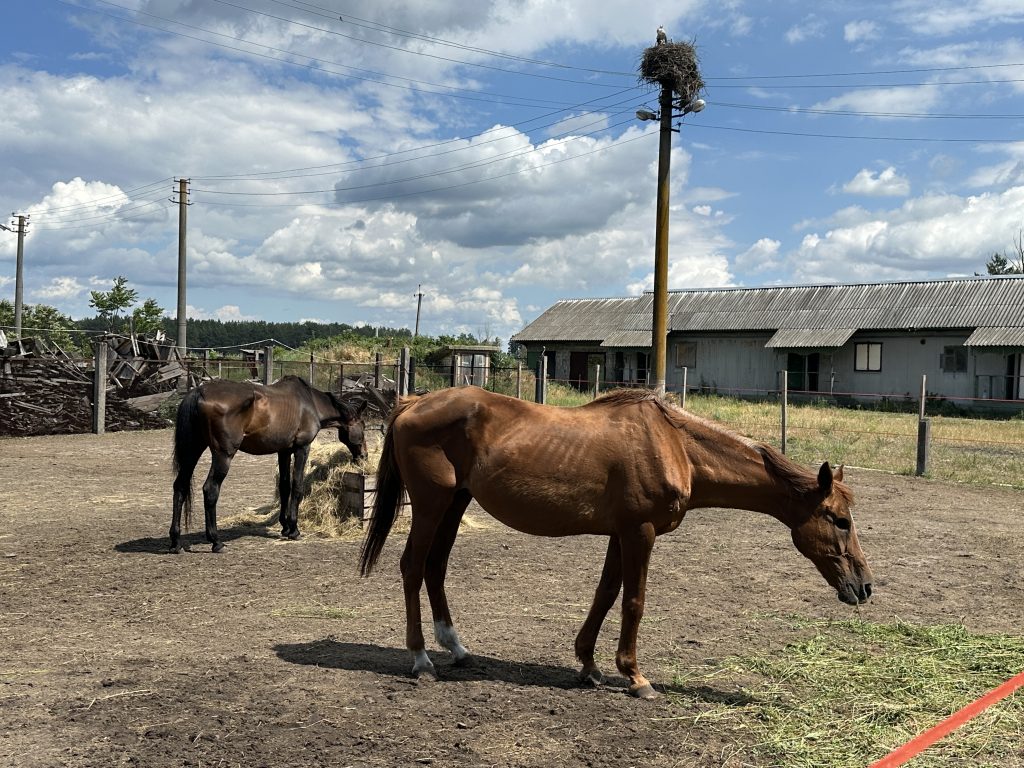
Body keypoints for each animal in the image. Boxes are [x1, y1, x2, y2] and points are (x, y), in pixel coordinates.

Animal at [171, 376, 368, 552]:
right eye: (363, 427)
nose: (364, 456)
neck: (310, 402)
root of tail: (199, 392)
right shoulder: (302, 449)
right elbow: (297, 486)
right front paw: (294, 529)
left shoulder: (284, 451)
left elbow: (284, 486)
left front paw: (285, 526)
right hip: (223, 456)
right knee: (210, 489)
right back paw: (215, 541)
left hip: (193, 451)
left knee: (180, 486)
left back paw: (176, 542)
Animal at [360, 387, 872, 700]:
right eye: (840, 520)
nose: (864, 587)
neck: (676, 446)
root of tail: (412, 403)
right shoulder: (639, 532)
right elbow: (634, 602)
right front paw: (635, 676)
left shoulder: (618, 533)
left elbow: (605, 595)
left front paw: (589, 665)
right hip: (431, 504)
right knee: (412, 567)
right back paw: (421, 659)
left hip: (455, 503)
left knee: (435, 567)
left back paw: (457, 648)